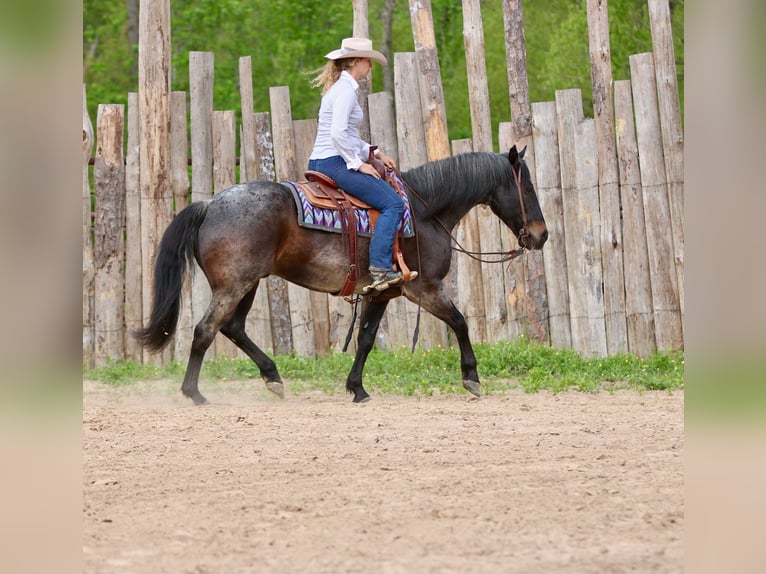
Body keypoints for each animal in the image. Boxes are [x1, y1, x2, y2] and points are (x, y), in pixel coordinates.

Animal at [135, 145, 548, 404]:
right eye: (526, 187)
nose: (541, 235)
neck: (424, 212)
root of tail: (209, 205)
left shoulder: (382, 293)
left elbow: (365, 339)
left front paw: (357, 389)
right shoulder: (425, 288)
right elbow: (460, 322)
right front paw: (471, 378)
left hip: (248, 283)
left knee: (232, 328)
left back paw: (273, 378)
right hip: (234, 285)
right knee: (206, 330)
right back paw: (195, 393)